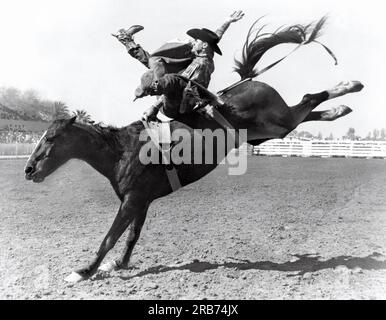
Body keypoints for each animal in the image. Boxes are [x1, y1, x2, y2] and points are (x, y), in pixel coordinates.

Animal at [23, 17, 362, 282]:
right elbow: (132, 236)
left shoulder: (132, 201)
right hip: (266, 133)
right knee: (306, 107)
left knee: (308, 99)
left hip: (275, 122)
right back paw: (341, 106)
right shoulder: (141, 202)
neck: (122, 151)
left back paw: (350, 87)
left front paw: (84, 271)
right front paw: (118, 264)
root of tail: (249, 81)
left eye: (50, 138)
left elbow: (110, 237)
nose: (28, 170)